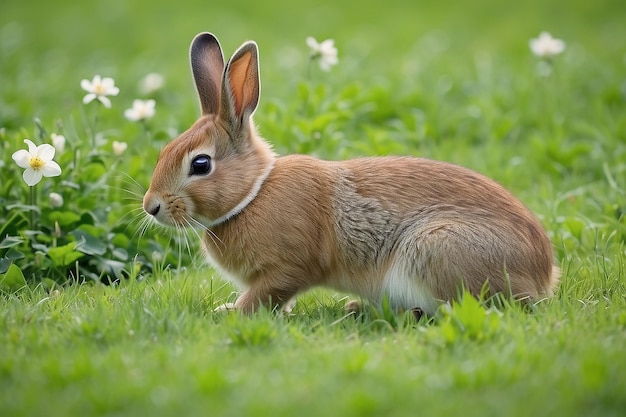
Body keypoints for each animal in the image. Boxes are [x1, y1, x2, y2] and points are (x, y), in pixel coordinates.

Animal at [144, 32, 560, 314]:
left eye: (200, 165)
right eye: (164, 151)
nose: (151, 207)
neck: (253, 193)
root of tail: (543, 274)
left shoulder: (287, 268)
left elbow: (266, 294)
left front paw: (230, 312)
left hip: (434, 249)